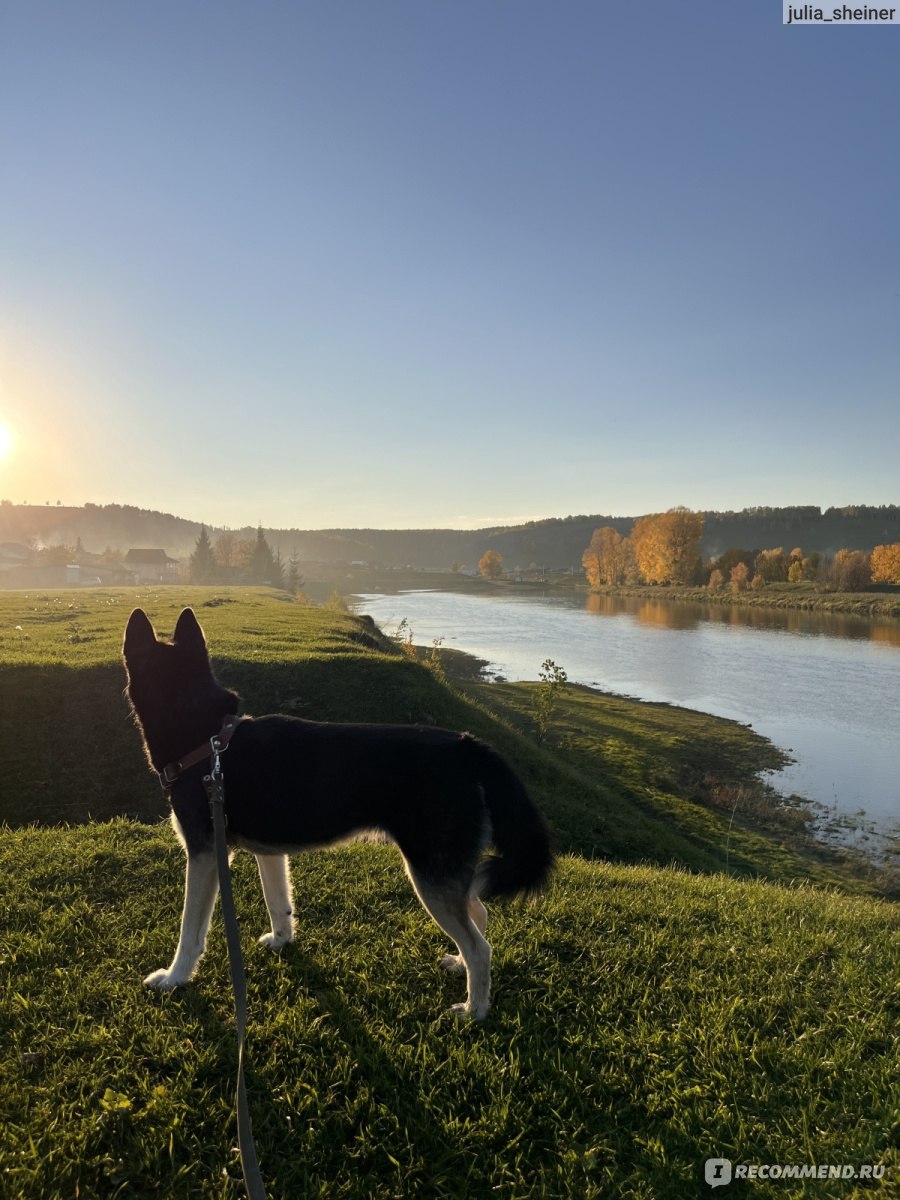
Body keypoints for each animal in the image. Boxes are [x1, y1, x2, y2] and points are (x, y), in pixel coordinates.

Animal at [123, 604, 554, 1017]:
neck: (206, 737)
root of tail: (467, 747)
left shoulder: (204, 854)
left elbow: (190, 931)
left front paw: (175, 978)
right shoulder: (269, 852)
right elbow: (279, 903)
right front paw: (282, 941)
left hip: (431, 875)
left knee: (480, 947)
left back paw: (474, 1009)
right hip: (445, 873)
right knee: (478, 916)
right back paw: (461, 967)